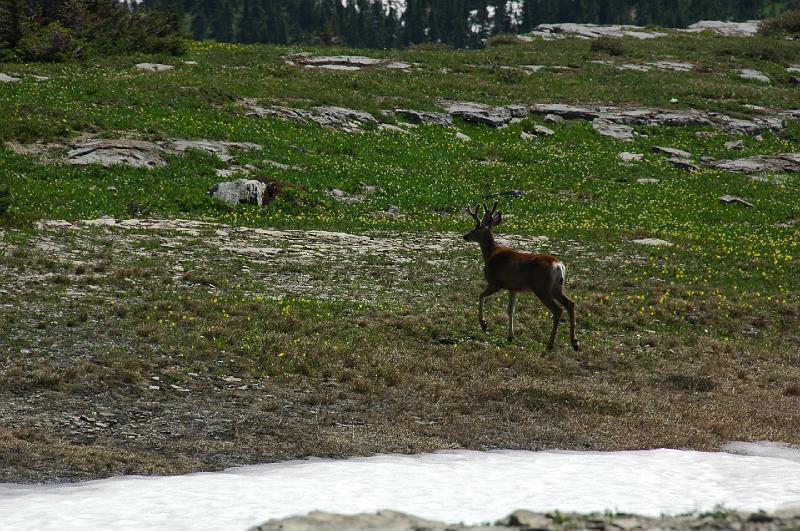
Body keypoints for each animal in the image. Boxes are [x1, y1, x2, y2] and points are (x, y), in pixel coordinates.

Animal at [462, 202, 580, 352]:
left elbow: (481, 296)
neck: (491, 253)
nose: (465, 236)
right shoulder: (513, 288)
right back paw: (574, 342)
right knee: (570, 303)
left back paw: (550, 344)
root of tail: (559, 265)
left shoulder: (496, 282)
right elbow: (510, 310)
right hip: (556, 287)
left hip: (541, 288)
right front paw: (510, 336)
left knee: (558, 310)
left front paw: (483, 324)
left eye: (474, 229)